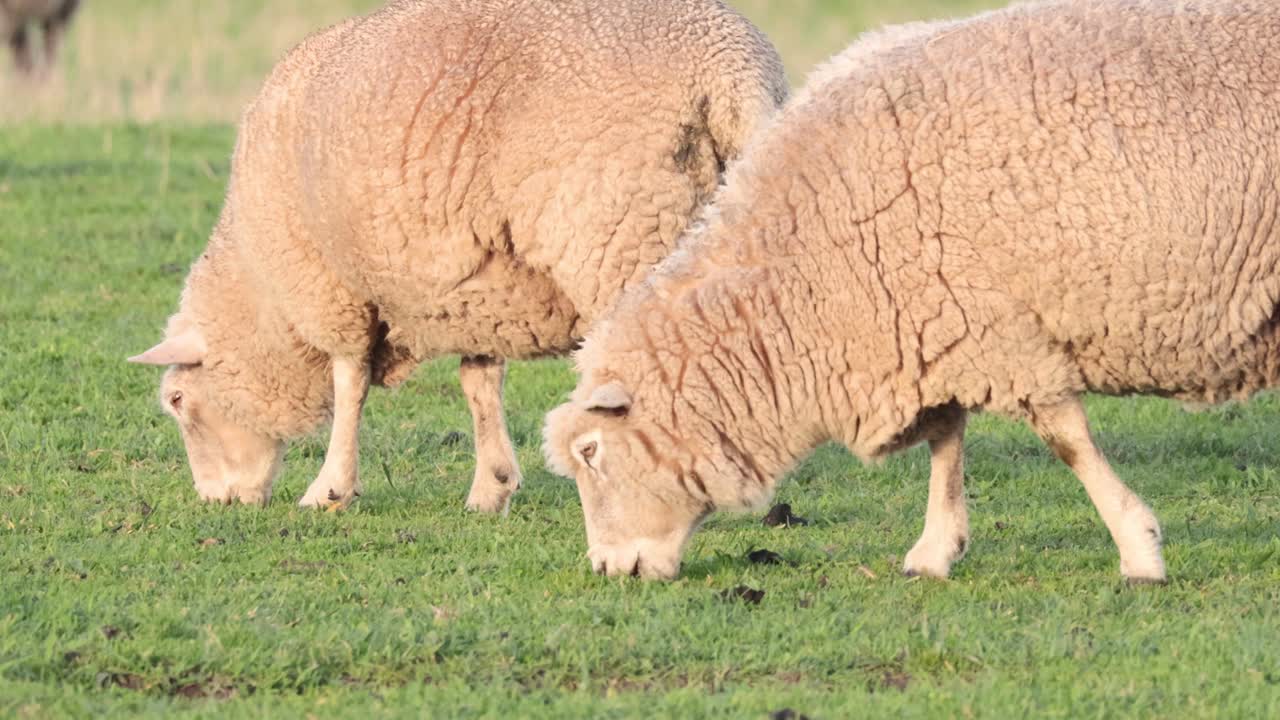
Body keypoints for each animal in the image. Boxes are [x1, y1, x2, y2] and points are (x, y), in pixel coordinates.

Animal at [132, 0, 788, 509]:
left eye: (178, 401)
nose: (215, 501)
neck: (260, 291)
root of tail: (729, 66)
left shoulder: (330, 287)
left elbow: (349, 384)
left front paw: (330, 488)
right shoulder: (483, 287)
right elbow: (479, 382)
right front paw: (491, 486)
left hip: (618, 231)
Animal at [545, 0, 1280, 584]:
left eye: (591, 453)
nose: (608, 568)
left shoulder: (1000, 330)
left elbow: (1064, 442)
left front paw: (1139, 550)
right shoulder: (936, 319)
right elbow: (947, 440)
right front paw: (936, 550)